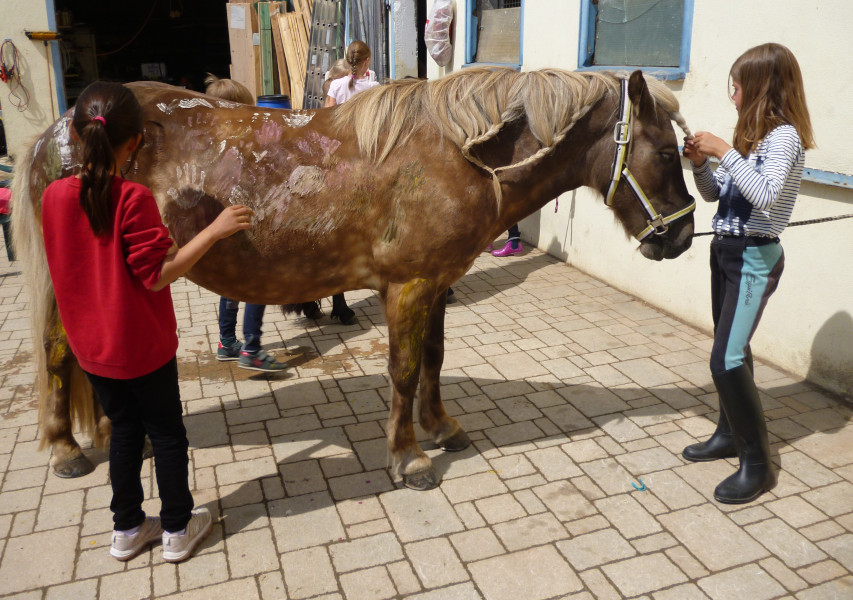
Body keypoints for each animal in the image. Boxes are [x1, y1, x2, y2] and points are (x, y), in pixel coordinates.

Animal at [13, 68, 692, 490]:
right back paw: (68, 450)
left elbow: (435, 359)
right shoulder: (408, 288)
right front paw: (408, 459)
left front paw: (441, 428)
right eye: (665, 153)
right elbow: (405, 370)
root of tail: (62, 129)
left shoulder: (435, 285)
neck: (458, 157)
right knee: (58, 352)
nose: (683, 236)